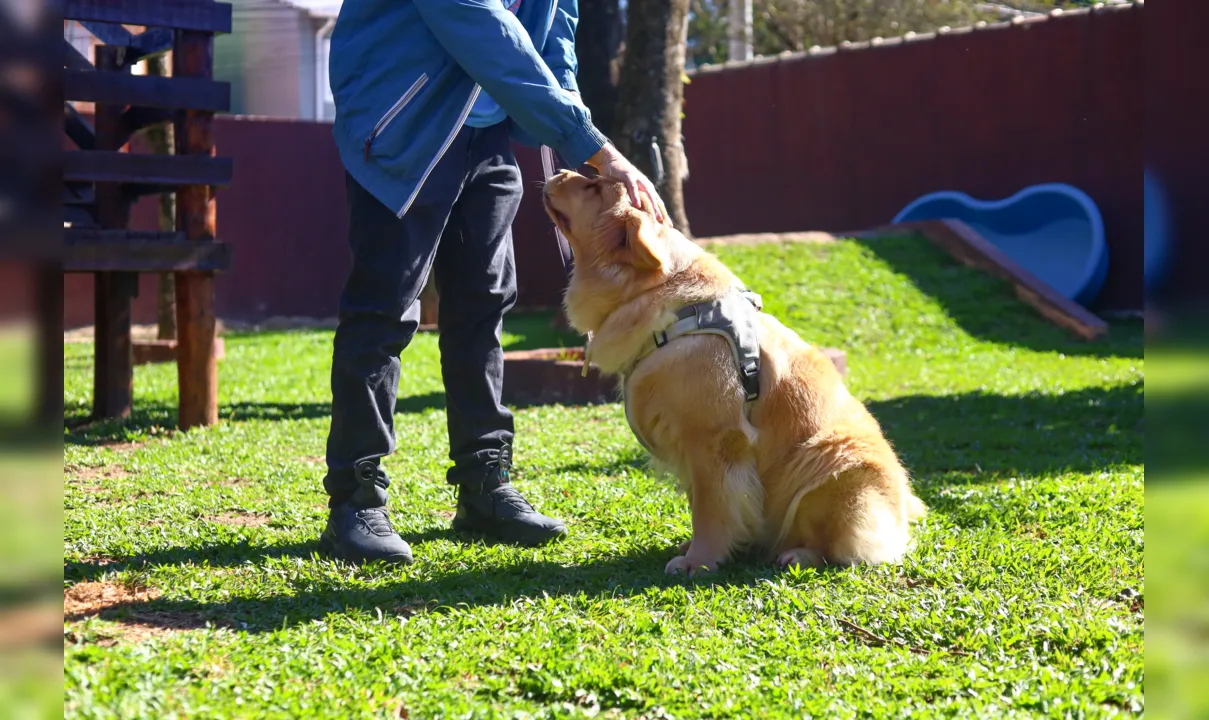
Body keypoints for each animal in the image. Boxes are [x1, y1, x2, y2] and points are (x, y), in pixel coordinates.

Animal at [544, 171, 928, 577]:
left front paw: (698, 561)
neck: (667, 304)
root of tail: (902, 511)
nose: (559, 172)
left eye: (594, 187)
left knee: (840, 545)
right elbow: (708, 504)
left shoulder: (714, 440)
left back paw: (797, 554)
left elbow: (711, 508)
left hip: (830, 458)